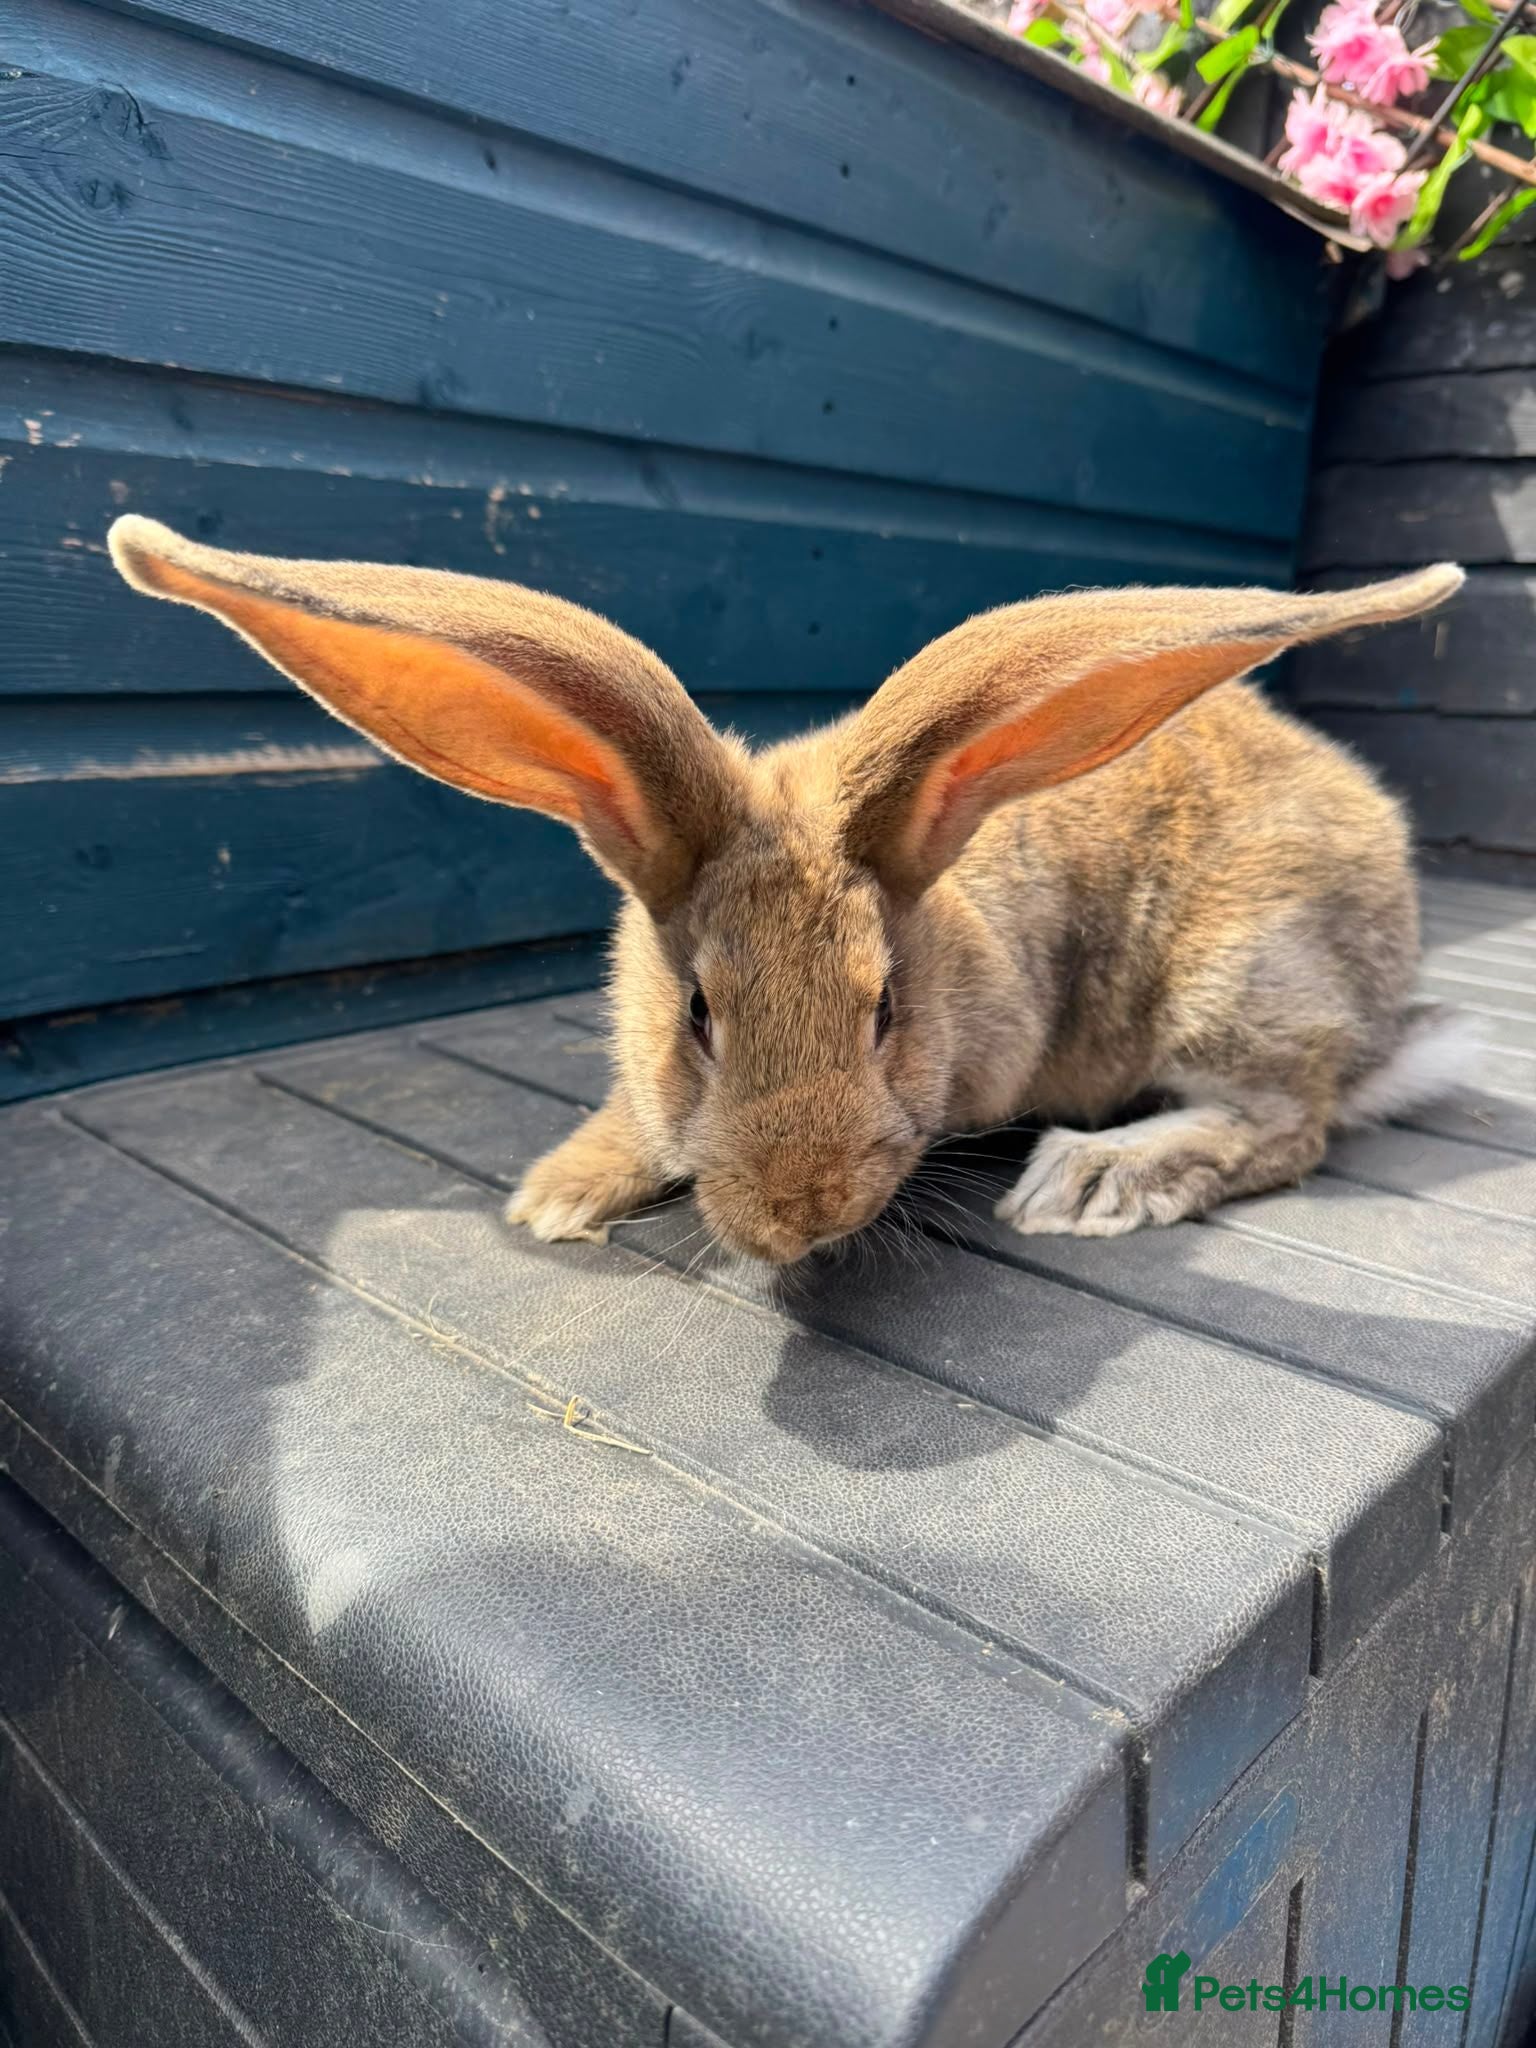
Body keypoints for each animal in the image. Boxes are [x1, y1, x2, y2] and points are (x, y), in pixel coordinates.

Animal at [109, 515, 1468, 1265]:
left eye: (885, 1012)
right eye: (697, 1015)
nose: (799, 1210)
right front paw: (556, 1198)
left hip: (1239, 974)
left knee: (1285, 1120)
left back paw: (1091, 1179)